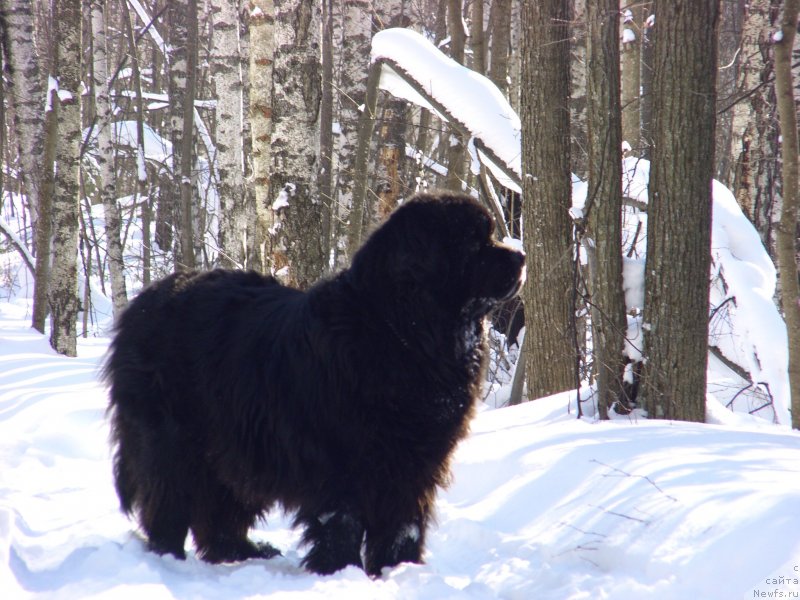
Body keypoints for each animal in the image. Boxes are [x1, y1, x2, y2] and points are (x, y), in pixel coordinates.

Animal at [106, 192, 528, 576]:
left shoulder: (416, 461)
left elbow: (403, 523)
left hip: (233, 445)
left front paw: (398, 569)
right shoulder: (342, 458)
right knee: (169, 499)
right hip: (174, 440)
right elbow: (342, 522)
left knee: (221, 507)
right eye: (475, 242)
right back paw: (168, 557)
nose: (521, 257)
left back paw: (244, 551)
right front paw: (340, 570)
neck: (401, 333)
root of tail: (142, 303)